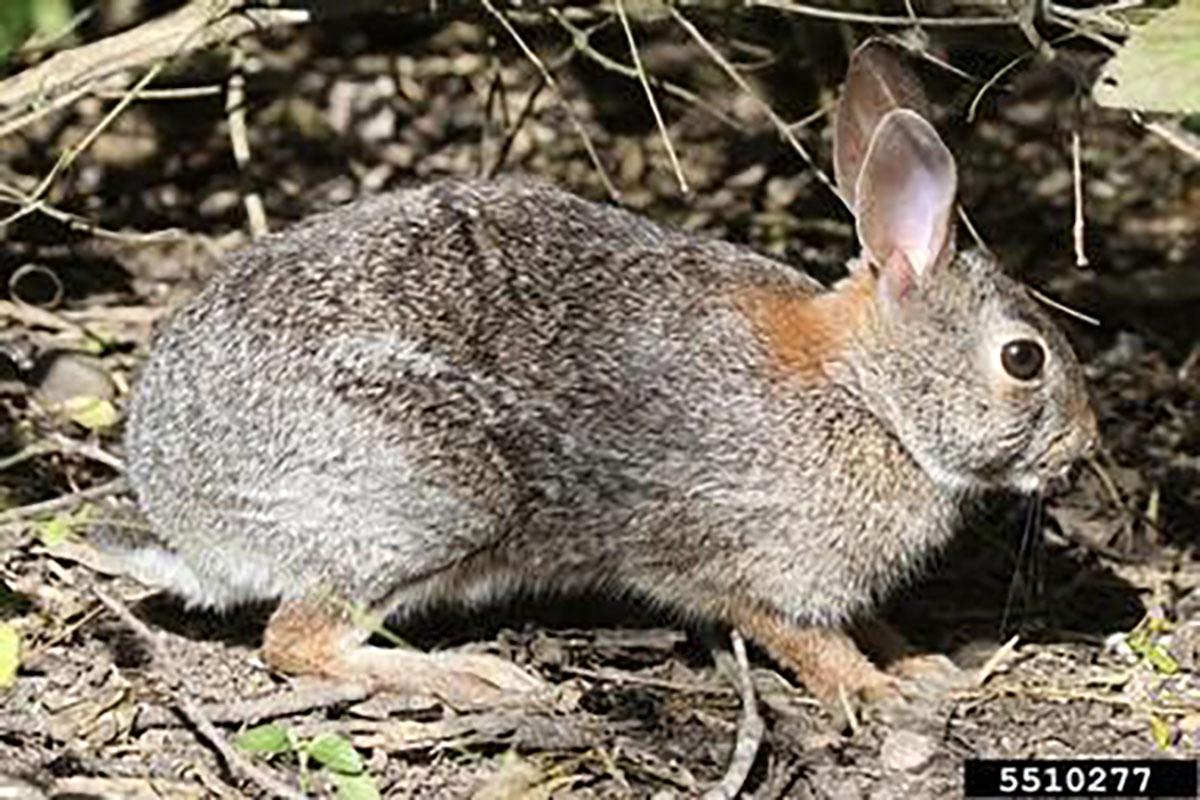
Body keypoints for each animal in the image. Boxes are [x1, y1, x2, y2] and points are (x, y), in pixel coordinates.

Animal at [119, 41, 1097, 715]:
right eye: (1024, 358)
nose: (1083, 449)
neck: (870, 397)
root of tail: (184, 512)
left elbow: (868, 620)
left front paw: (920, 663)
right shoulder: (746, 560)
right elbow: (801, 637)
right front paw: (875, 690)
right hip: (426, 502)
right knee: (295, 640)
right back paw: (474, 675)